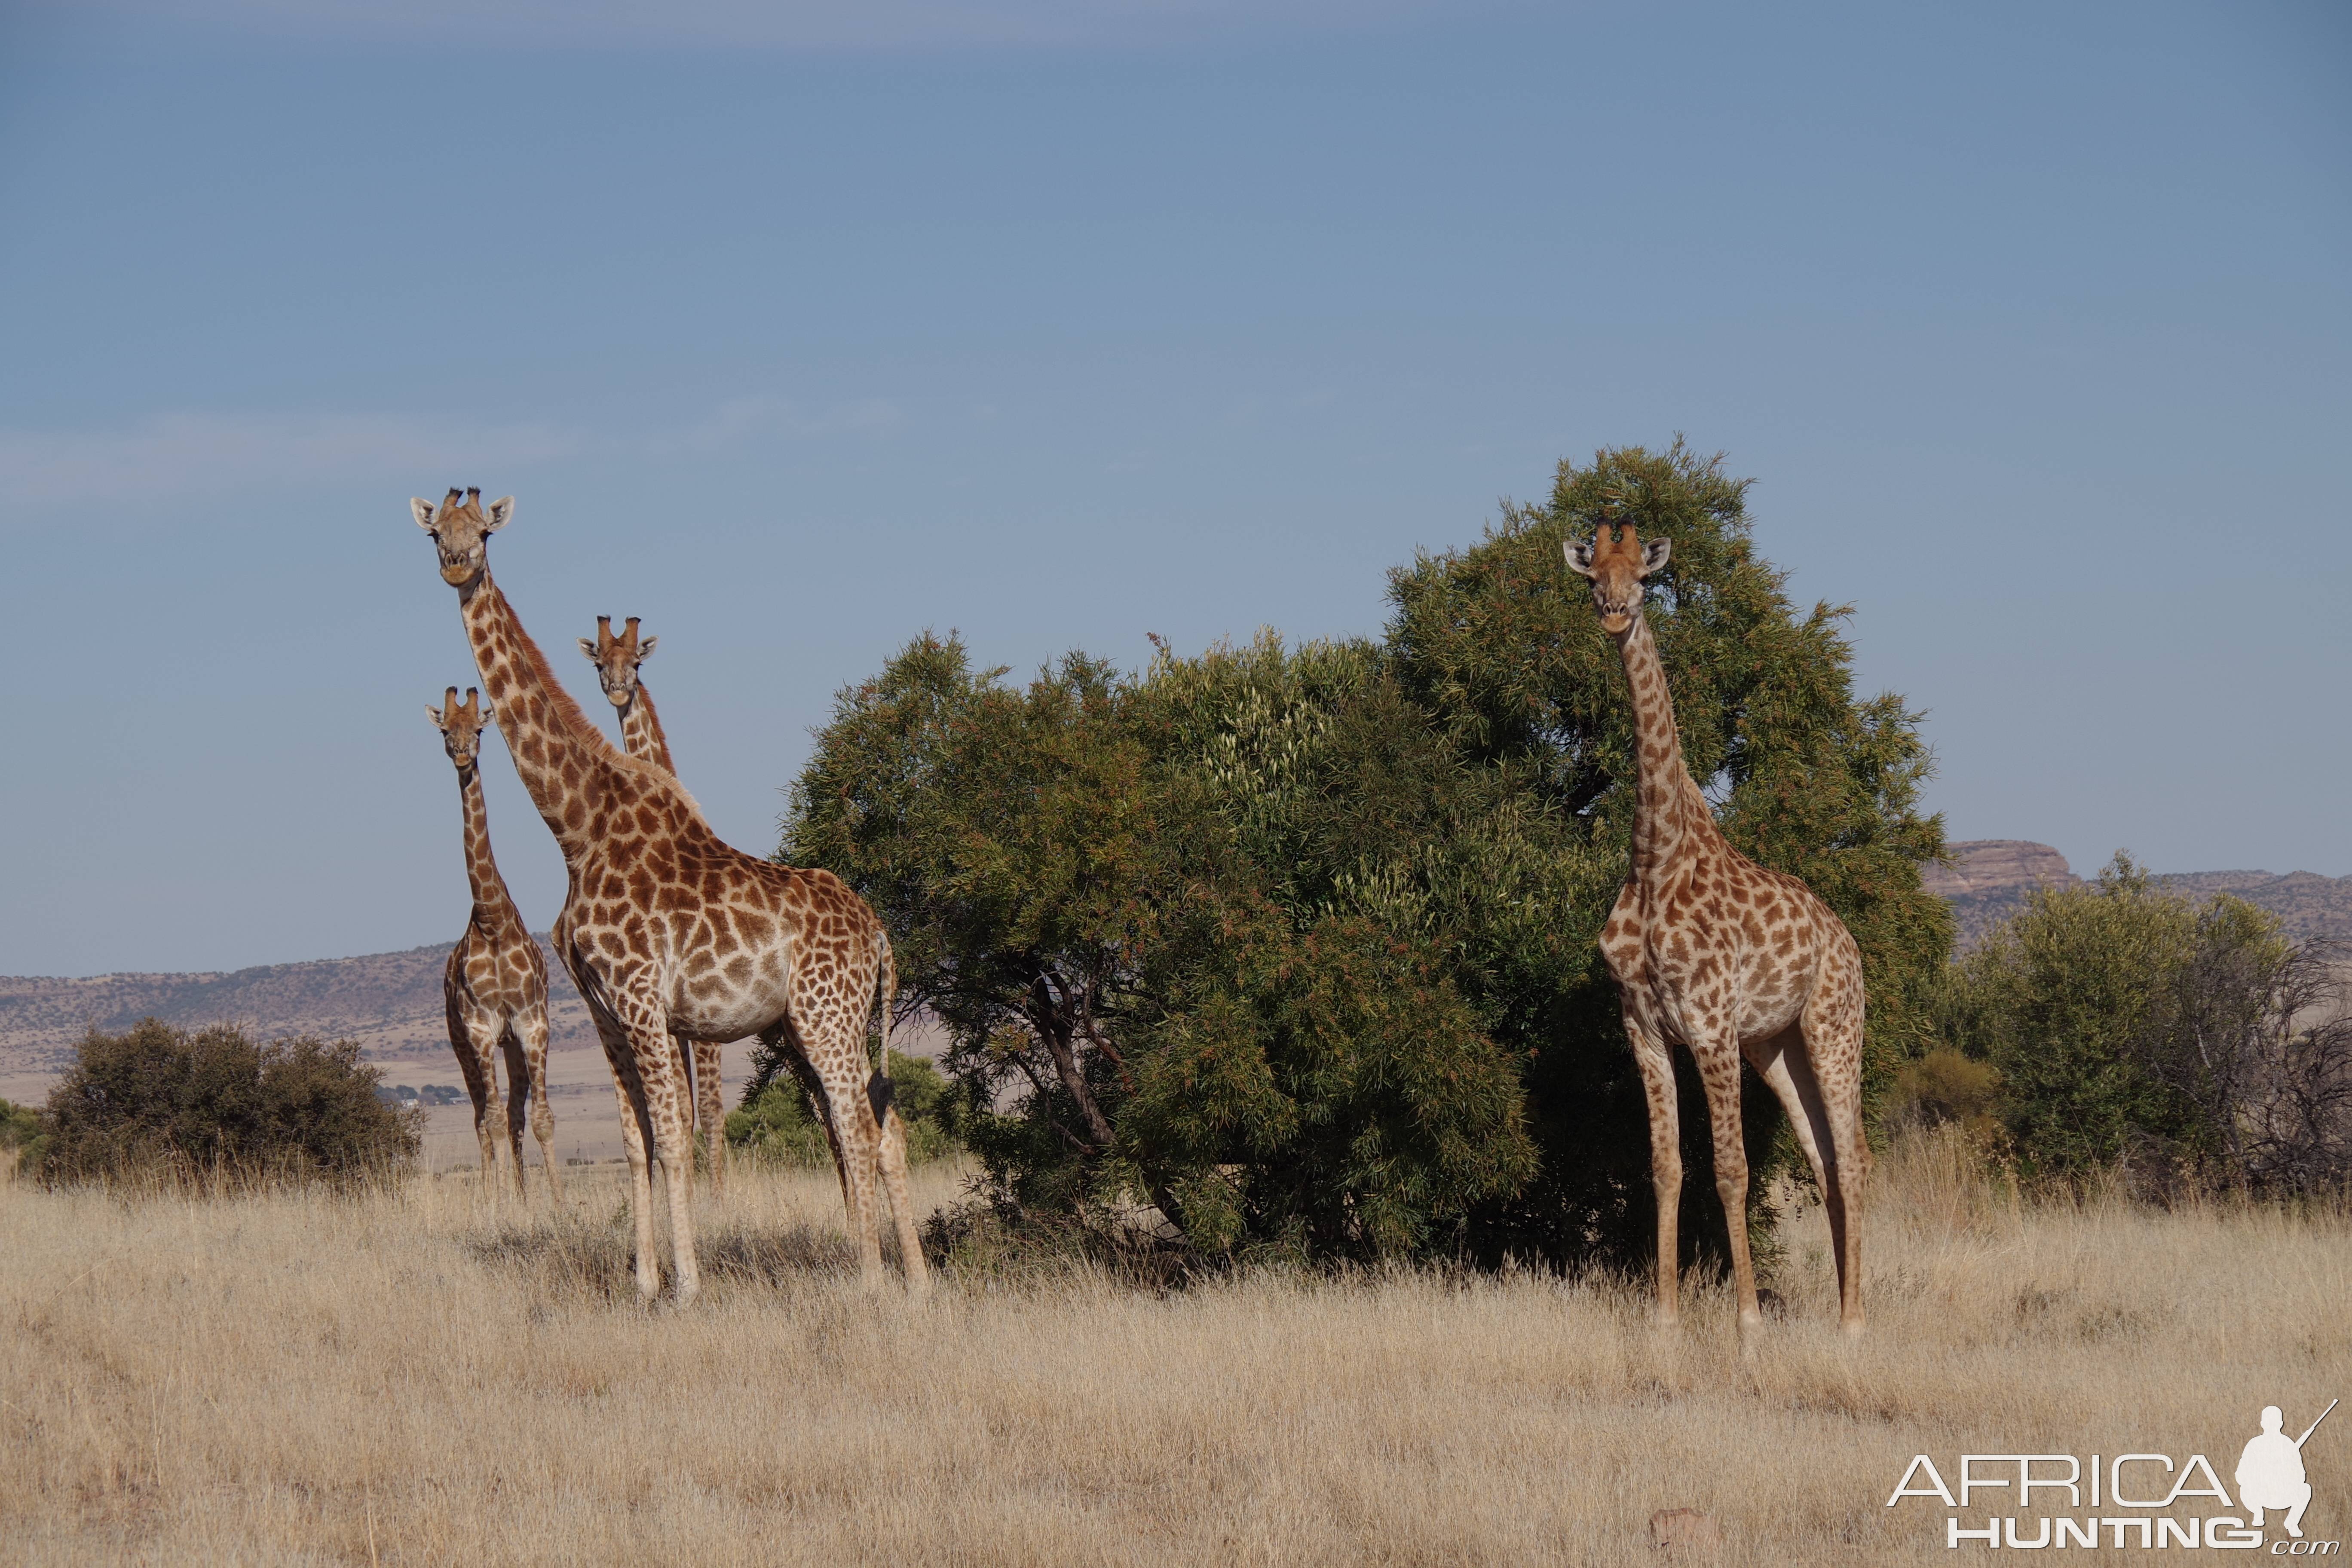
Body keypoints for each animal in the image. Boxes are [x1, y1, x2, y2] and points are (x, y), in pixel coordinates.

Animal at [428, 686, 564, 1204]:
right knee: (481, 1118)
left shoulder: (531, 1023)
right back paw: (494, 1193)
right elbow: (490, 1119)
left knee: (512, 1114)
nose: (463, 754)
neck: (493, 920)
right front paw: (497, 1203)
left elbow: (540, 1118)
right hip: (461, 1043)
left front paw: (556, 1203)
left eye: (480, 729)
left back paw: (523, 1196)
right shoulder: (480, 1029)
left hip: (511, 1045)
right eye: (446, 730)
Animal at [579, 611, 724, 1189]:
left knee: (715, 1108)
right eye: (600, 661)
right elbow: (679, 1111)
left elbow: (697, 1110)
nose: (619, 690)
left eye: (637, 663)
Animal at [1562, 522, 1872, 1335]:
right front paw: (1666, 1323)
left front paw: (1748, 1327)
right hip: (1777, 1044)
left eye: (1643, 579)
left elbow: (1731, 1169)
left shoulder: (1708, 1023)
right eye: (1592, 578)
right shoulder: (1642, 1025)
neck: (1653, 854)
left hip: (1833, 1027)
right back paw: (1840, 1313)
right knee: (1824, 1158)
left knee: (1855, 1156)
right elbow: (1666, 1167)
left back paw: (1856, 1323)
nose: (1613, 613)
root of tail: (1849, 942)